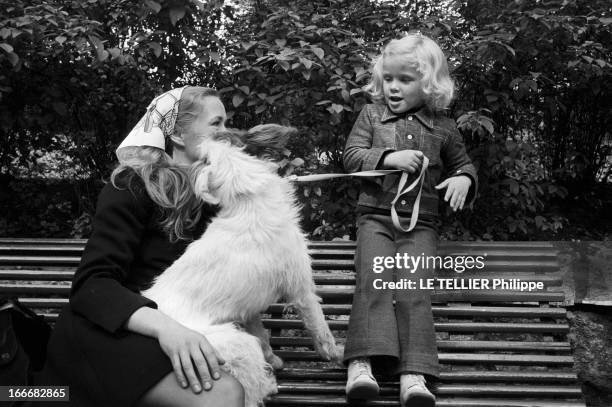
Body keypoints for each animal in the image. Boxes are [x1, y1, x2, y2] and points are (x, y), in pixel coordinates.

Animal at [143, 126, 344, 406]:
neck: (247, 198)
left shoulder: (248, 308)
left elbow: (263, 335)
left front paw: (273, 359)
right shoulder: (301, 288)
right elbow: (320, 328)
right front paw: (336, 354)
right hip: (230, 345)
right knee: (250, 391)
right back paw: (269, 386)